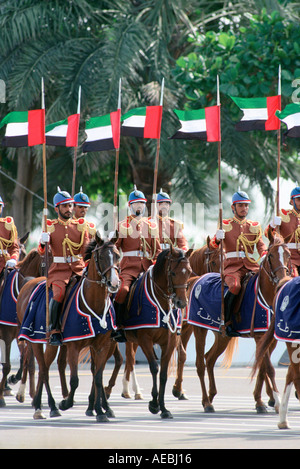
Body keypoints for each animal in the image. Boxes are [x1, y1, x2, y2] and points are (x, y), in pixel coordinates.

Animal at [16, 234, 120, 420]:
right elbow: (75, 380)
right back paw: (47, 406)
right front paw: (66, 403)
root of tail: (29, 283)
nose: (114, 283)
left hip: (51, 345)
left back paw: (40, 404)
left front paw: (101, 411)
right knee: (43, 369)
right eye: (101, 257)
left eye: (117, 255)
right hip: (37, 341)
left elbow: (98, 377)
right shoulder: (74, 346)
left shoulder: (102, 346)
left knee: (45, 368)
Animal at [191, 229, 292, 414]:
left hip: (222, 336)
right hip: (199, 329)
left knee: (209, 358)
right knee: (200, 363)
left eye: (288, 254)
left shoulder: (269, 338)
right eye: (271, 255)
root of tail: (198, 279)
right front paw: (277, 402)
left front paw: (261, 401)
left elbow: (261, 369)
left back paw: (211, 396)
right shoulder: (259, 336)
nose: (283, 278)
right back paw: (206, 402)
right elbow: (269, 368)